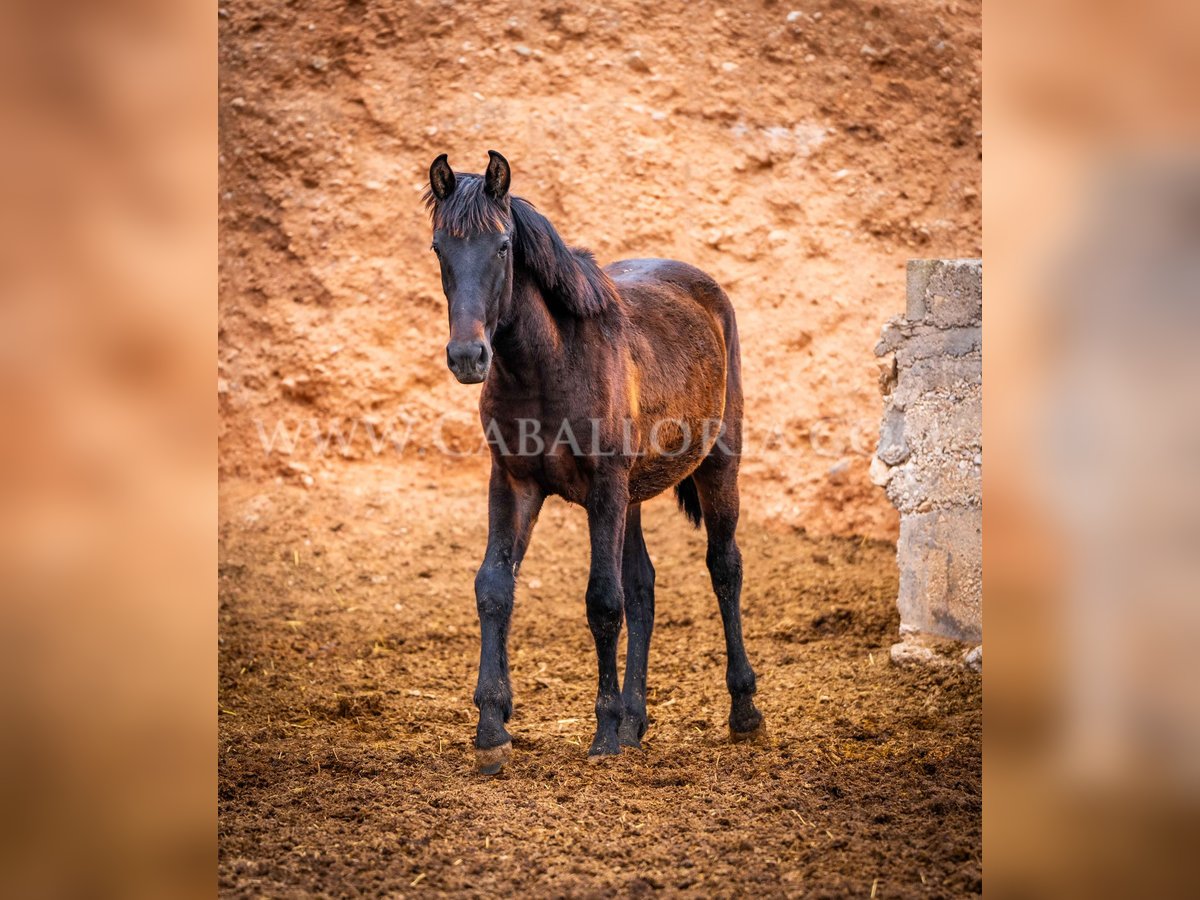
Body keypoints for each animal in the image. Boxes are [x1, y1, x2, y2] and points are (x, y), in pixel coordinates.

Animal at [424, 150, 758, 777]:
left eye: (502, 245)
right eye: (438, 247)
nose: (468, 356)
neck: (546, 366)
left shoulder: (603, 487)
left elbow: (603, 600)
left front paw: (601, 734)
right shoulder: (513, 482)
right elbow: (494, 587)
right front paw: (492, 727)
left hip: (716, 465)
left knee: (724, 567)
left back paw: (744, 710)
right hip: (633, 494)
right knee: (644, 587)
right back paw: (634, 721)